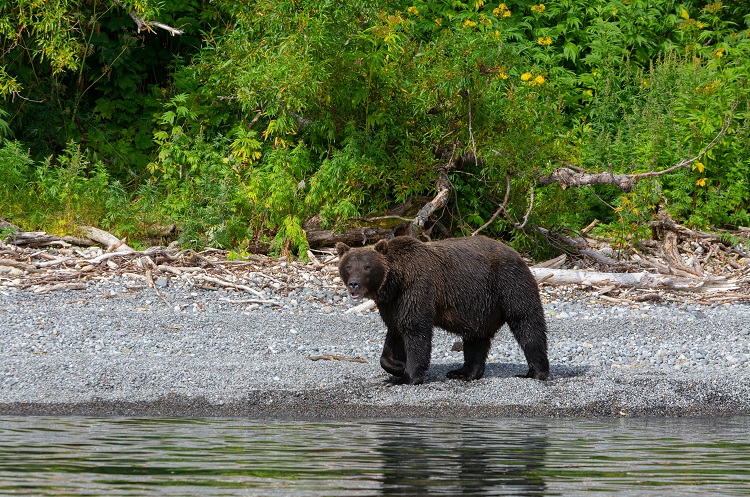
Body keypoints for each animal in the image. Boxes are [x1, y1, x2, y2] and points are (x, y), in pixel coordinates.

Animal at [338, 235, 548, 384]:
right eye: (348, 266)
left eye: (367, 266)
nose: (354, 284)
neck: (395, 282)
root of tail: (518, 254)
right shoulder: (392, 304)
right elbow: (395, 333)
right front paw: (397, 366)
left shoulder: (417, 288)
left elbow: (415, 330)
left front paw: (407, 376)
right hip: (479, 305)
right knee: (476, 337)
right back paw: (464, 373)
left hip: (509, 283)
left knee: (527, 322)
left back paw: (535, 372)